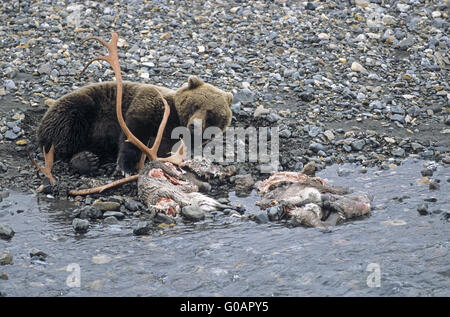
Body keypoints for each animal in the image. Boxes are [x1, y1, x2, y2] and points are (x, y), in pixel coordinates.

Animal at [37, 76, 234, 175]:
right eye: (195, 105)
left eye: (211, 113)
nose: (194, 125)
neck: (175, 121)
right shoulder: (151, 104)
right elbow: (135, 130)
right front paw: (126, 166)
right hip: (80, 107)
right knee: (65, 132)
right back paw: (84, 159)